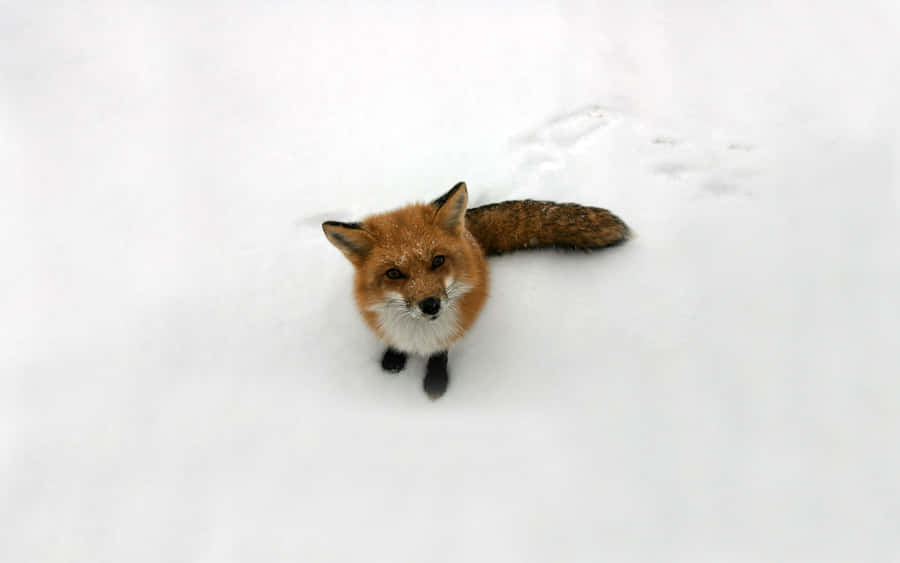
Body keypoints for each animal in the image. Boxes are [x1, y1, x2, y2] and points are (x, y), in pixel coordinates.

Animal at [322, 182, 629, 399]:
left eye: (438, 260)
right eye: (393, 273)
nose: (430, 305)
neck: (420, 335)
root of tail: (468, 229)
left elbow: (440, 353)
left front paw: (436, 382)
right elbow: (394, 343)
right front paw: (393, 360)